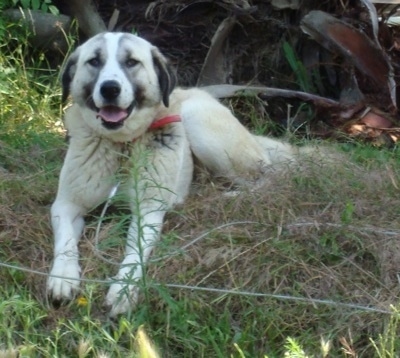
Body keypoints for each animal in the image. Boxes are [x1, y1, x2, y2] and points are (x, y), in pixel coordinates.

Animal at [48, 31, 312, 316]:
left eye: (131, 62)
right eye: (94, 61)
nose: (109, 89)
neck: (122, 147)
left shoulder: (149, 211)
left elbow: (135, 253)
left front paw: (123, 289)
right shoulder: (65, 204)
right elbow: (65, 240)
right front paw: (63, 277)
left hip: (197, 123)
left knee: (268, 176)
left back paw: (228, 197)